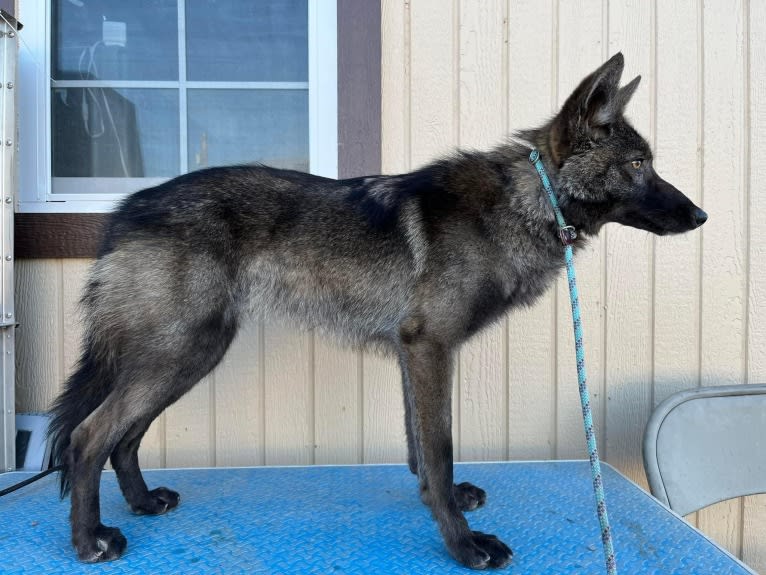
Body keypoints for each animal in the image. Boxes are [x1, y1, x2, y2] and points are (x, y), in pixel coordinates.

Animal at [46, 53, 708, 568]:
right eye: (639, 165)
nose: (702, 216)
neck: (527, 201)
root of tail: (124, 212)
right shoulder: (429, 349)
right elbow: (438, 447)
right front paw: (465, 546)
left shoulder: (413, 354)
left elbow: (421, 447)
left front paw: (438, 502)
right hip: (181, 351)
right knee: (88, 436)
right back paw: (90, 540)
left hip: (189, 354)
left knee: (125, 437)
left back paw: (141, 503)